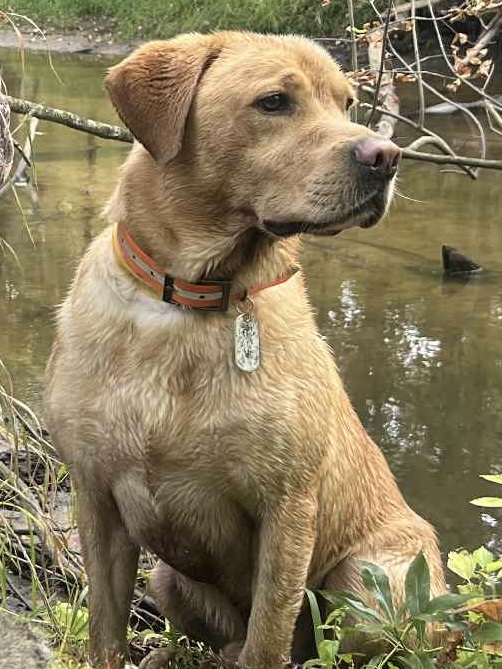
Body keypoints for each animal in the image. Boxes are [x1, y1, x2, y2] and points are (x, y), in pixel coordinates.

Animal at [45, 31, 446, 669]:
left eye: (348, 104)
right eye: (275, 101)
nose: (386, 156)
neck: (190, 301)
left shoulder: (288, 511)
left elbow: (268, 638)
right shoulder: (97, 498)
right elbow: (106, 634)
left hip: (367, 581)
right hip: (165, 580)